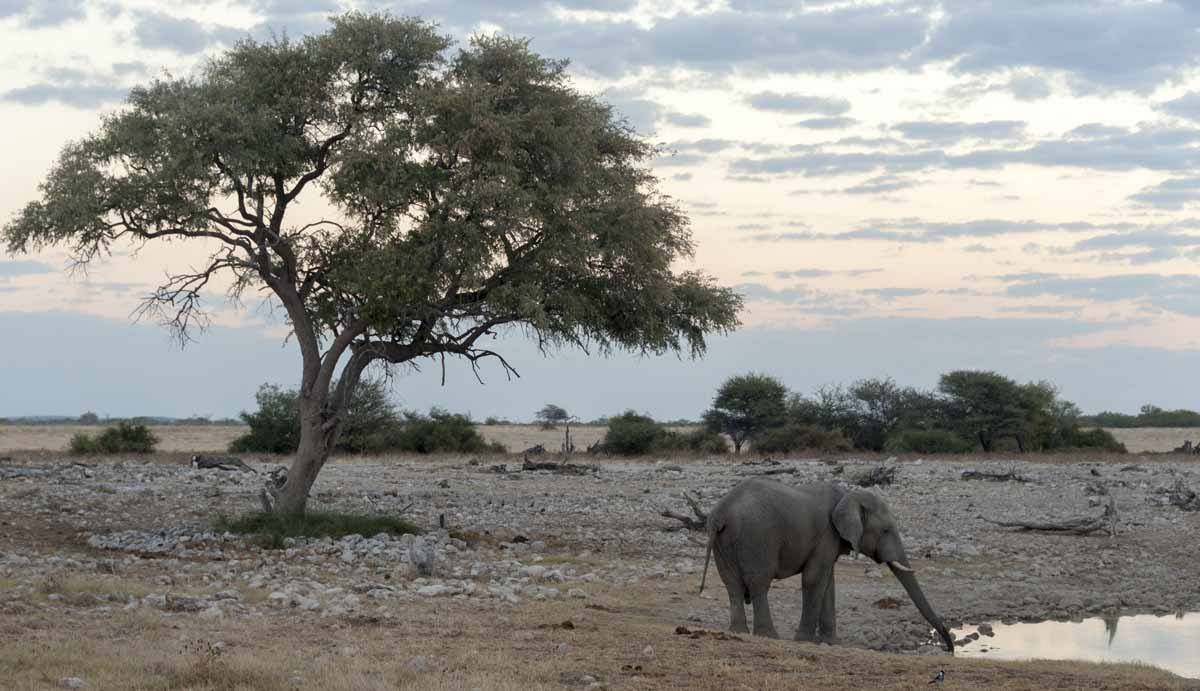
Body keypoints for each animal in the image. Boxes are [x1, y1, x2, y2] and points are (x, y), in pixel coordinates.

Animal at [700, 477, 950, 652]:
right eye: (886, 530)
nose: (949, 647)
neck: (848, 495)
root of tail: (720, 514)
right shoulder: (826, 534)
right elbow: (814, 578)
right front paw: (804, 641)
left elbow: (828, 581)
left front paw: (832, 643)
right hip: (756, 538)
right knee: (758, 584)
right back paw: (769, 636)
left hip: (725, 542)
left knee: (732, 584)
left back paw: (739, 632)